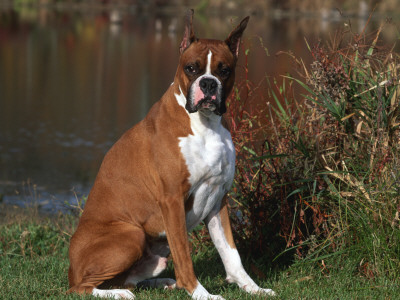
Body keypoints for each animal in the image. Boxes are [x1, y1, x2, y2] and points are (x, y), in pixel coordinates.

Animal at [68, 9, 276, 300]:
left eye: (224, 70)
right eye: (191, 68)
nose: (208, 84)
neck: (204, 124)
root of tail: (70, 267)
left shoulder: (218, 200)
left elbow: (231, 254)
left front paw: (253, 288)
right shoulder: (172, 200)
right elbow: (185, 256)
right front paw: (202, 294)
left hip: (155, 254)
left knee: (129, 279)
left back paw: (161, 283)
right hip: (131, 235)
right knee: (82, 288)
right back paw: (118, 294)